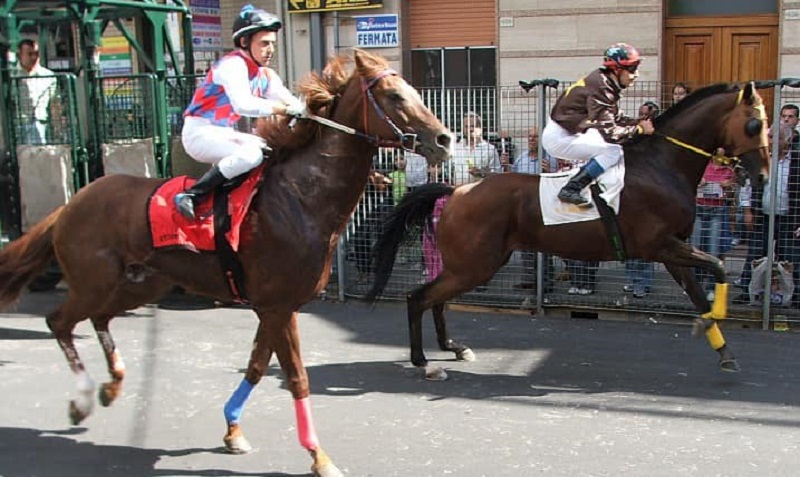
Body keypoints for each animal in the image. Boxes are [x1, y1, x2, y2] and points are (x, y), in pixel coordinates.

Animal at [0, 49, 452, 477]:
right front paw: (320, 457)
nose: (444, 139)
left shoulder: (274, 308)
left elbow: (255, 366)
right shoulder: (278, 306)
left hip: (142, 283)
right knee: (59, 322)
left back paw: (111, 386)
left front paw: (233, 431)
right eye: (394, 96)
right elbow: (296, 378)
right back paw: (81, 400)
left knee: (99, 318)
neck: (302, 199)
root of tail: (72, 202)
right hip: (94, 281)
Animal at [367, 81, 770, 378]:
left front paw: (724, 350)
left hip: (469, 265)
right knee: (419, 297)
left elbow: (700, 293)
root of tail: (456, 191)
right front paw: (718, 320)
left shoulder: (672, 249)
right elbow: (718, 267)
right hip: (475, 265)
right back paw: (421, 359)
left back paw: (452, 348)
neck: (662, 165)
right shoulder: (660, 245)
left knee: (435, 299)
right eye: (754, 124)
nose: (763, 175)